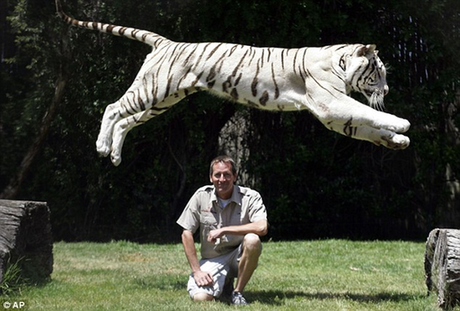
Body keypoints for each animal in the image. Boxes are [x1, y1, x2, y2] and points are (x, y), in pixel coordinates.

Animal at [55, 1, 412, 167]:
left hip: (163, 99)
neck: (339, 62)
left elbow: (365, 127)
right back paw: (102, 147)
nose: (388, 90)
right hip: (152, 90)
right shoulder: (331, 103)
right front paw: (401, 123)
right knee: (112, 108)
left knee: (126, 120)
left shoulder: (331, 116)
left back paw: (115, 156)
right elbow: (368, 113)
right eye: (379, 72)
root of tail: (166, 42)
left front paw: (397, 141)